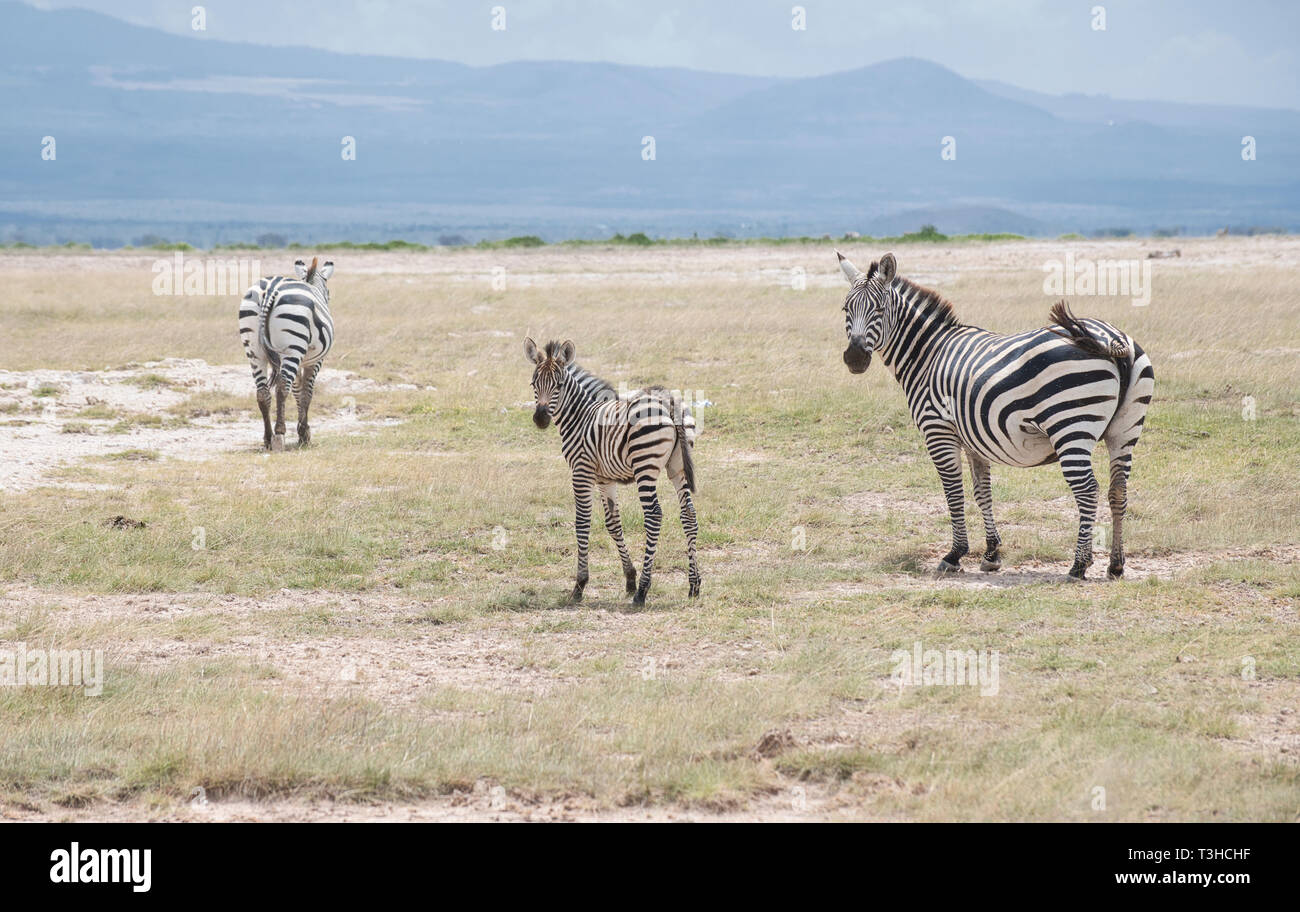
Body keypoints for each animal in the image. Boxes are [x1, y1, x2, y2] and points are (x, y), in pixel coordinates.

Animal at [240, 258, 335, 452]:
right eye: (328, 293)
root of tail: (269, 289)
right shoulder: (314, 361)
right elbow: (306, 393)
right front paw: (304, 434)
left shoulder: (300, 360)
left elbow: (298, 391)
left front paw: (302, 431)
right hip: (292, 347)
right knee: (283, 388)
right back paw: (279, 434)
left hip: (254, 350)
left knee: (262, 392)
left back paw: (268, 438)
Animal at [525, 337, 702, 608]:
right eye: (535, 383)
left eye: (559, 385)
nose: (540, 418)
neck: (580, 416)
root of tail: (668, 402)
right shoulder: (604, 479)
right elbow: (613, 523)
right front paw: (629, 578)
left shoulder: (581, 471)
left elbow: (582, 522)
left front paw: (580, 586)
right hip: (677, 467)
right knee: (688, 515)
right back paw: (693, 585)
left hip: (645, 465)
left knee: (654, 515)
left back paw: (643, 592)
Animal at [842, 249, 1159, 582]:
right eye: (846, 309)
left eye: (879, 309)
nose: (854, 358)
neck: (927, 355)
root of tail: (1111, 338)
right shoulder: (972, 438)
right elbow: (983, 492)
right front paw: (991, 554)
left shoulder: (938, 430)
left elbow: (953, 492)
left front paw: (954, 555)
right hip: (1125, 430)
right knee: (1118, 490)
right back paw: (1116, 565)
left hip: (1070, 425)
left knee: (1087, 490)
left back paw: (1078, 566)